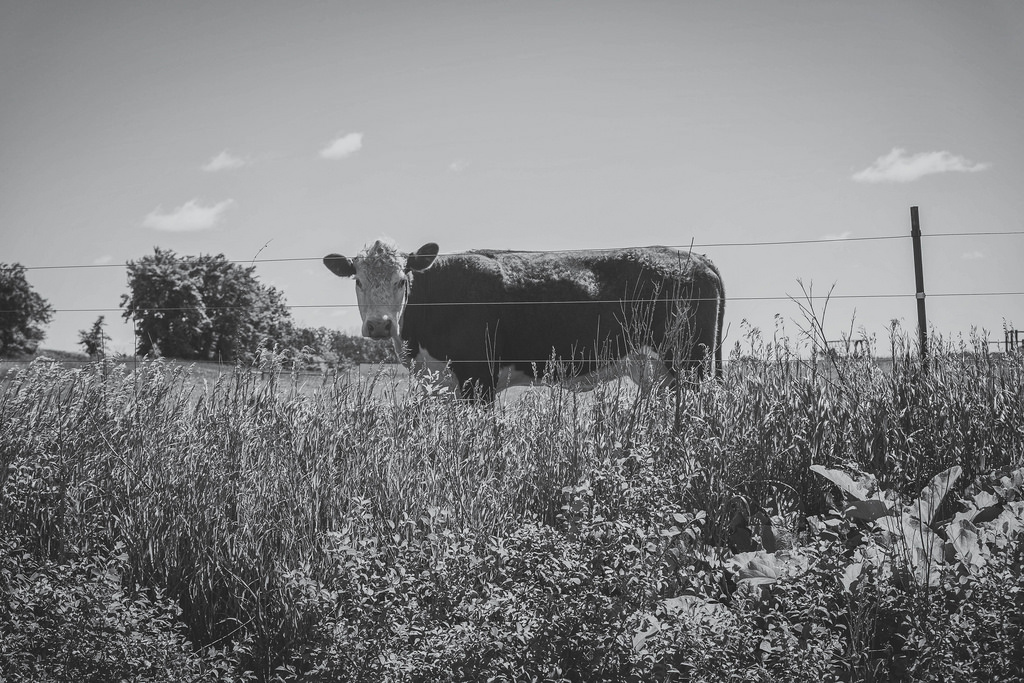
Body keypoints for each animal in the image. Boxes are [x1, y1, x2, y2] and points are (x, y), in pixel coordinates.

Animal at [323, 240, 724, 401]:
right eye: (358, 280)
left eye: (401, 280)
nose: (380, 325)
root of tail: (694, 257)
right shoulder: (440, 383)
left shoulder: (478, 377)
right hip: (659, 372)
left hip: (691, 362)